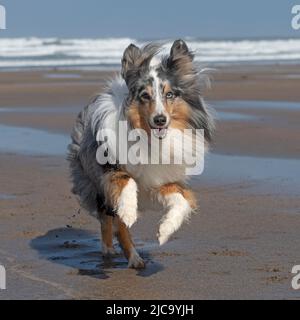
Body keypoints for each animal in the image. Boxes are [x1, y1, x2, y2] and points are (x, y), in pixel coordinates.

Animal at [68, 40, 213, 270]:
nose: (160, 119)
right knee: (108, 219)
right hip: (93, 183)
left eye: (169, 94)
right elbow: (127, 182)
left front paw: (165, 231)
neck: (150, 139)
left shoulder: (160, 179)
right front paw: (129, 210)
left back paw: (133, 257)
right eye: (145, 95)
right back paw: (119, 252)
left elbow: (182, 200)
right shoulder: (110, 169)